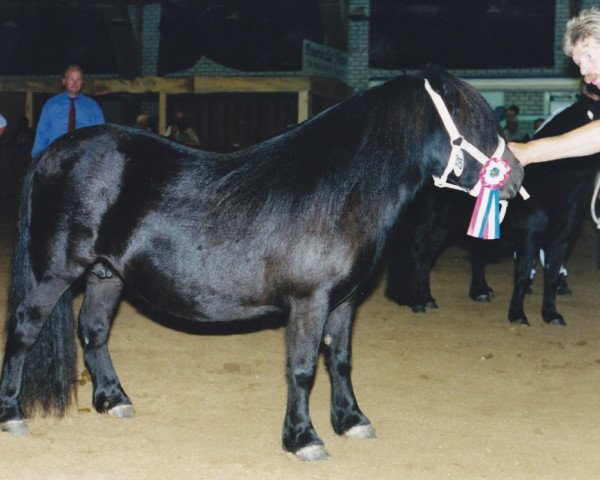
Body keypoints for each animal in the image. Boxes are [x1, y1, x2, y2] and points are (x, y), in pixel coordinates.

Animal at [0, 65, 524, 460]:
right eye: (475, 122)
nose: (516, 177)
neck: (340, 191)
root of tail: (52, 154)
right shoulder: (309, 303)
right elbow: (303, 369)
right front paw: (304, 439)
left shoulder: (344, 302)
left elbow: (340, 361)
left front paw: (351, 420)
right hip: (54, 273)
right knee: (24, 331)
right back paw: (12, 414)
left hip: (107, 276)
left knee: (93, 332)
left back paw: (113, 401)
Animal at [386, 85, 600, 326]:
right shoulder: (528, 239)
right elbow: (523, 275)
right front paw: (517, 315)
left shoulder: (560, 241)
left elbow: (552, 277)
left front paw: (551, 314)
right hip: (429, 227)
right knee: (419, 258)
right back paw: (418, 301)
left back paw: (447, 296)